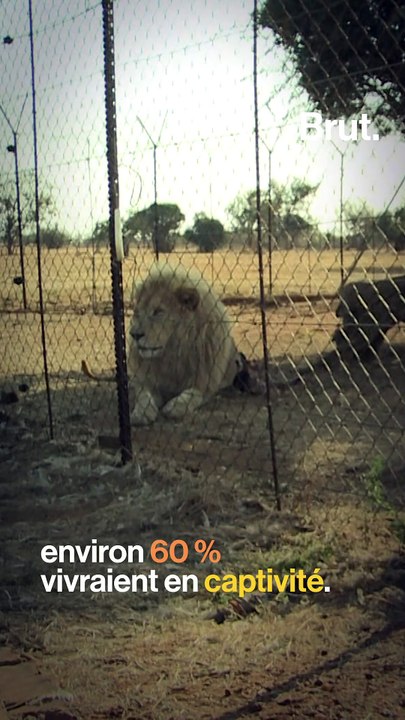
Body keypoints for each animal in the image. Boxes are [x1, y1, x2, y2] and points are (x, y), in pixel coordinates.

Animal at [127, 263, 241, 425]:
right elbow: (143, 395)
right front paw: (140, 413)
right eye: (137, 312)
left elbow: (193, 394)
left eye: (158, 312)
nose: (134, 335)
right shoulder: (147, 380)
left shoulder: (206, 384)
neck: (173, 352)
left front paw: (174, 406)